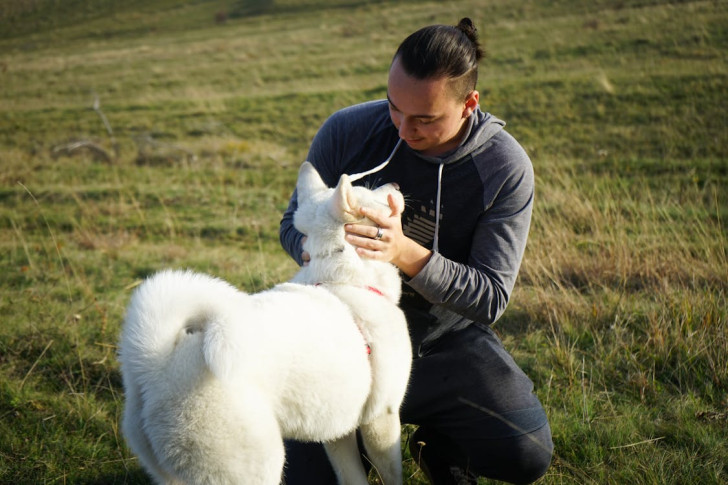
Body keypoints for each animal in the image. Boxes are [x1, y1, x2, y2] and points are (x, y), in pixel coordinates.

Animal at [121, 161, 416, 482]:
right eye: (368, 191)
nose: (397, 185)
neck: (345, 280)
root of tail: (157, 364)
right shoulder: (382, 417)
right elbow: (391, 474)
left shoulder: (338, 430)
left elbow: (352, 476)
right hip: (258, 467)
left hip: (171, 474)